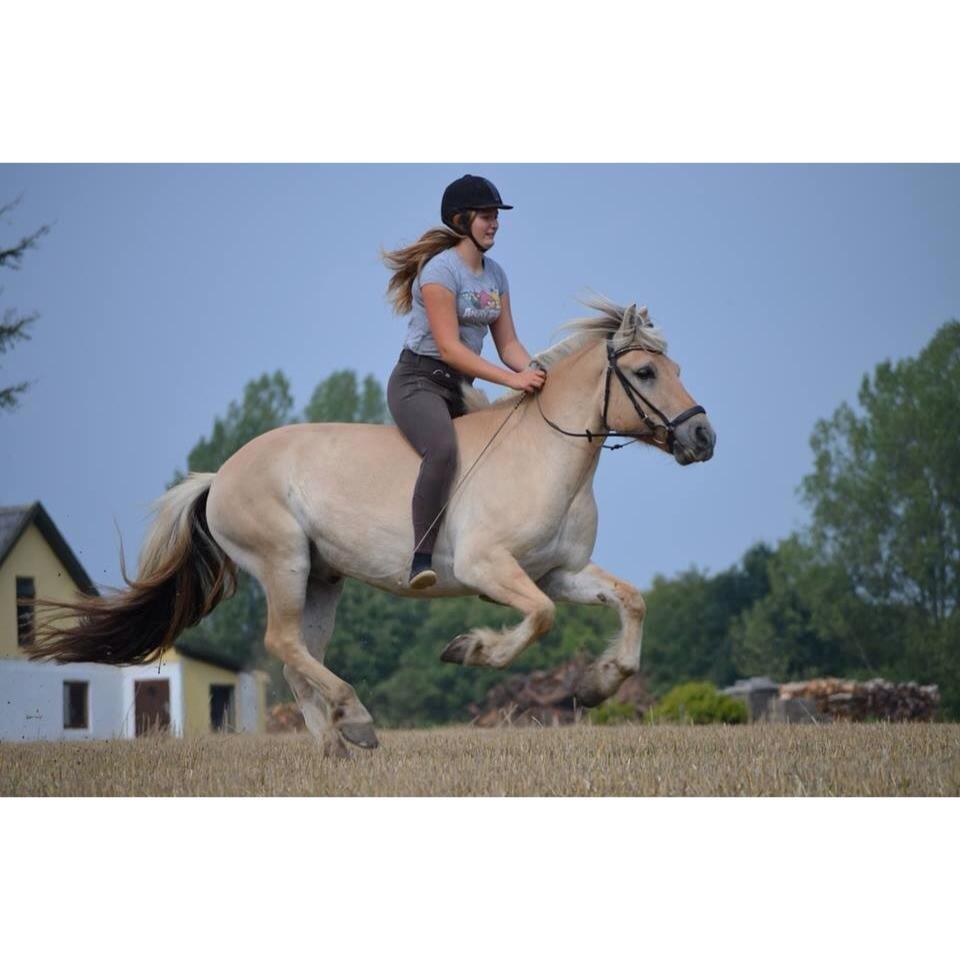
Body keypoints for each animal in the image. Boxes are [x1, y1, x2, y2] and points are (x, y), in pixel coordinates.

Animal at [31, 300, 712, 756]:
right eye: (646, 373)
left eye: (678, 366)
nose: (703, 438)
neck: (548, 455)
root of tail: (221, 475)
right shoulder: (491, 569)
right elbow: (540, 618)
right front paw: (471, 649)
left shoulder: (558, 572)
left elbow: (631, 600)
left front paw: (597, 686)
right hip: (284, 562)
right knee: (283, 643)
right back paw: (355, 719)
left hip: (322, 578)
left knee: (297, 655)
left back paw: (334, 745)